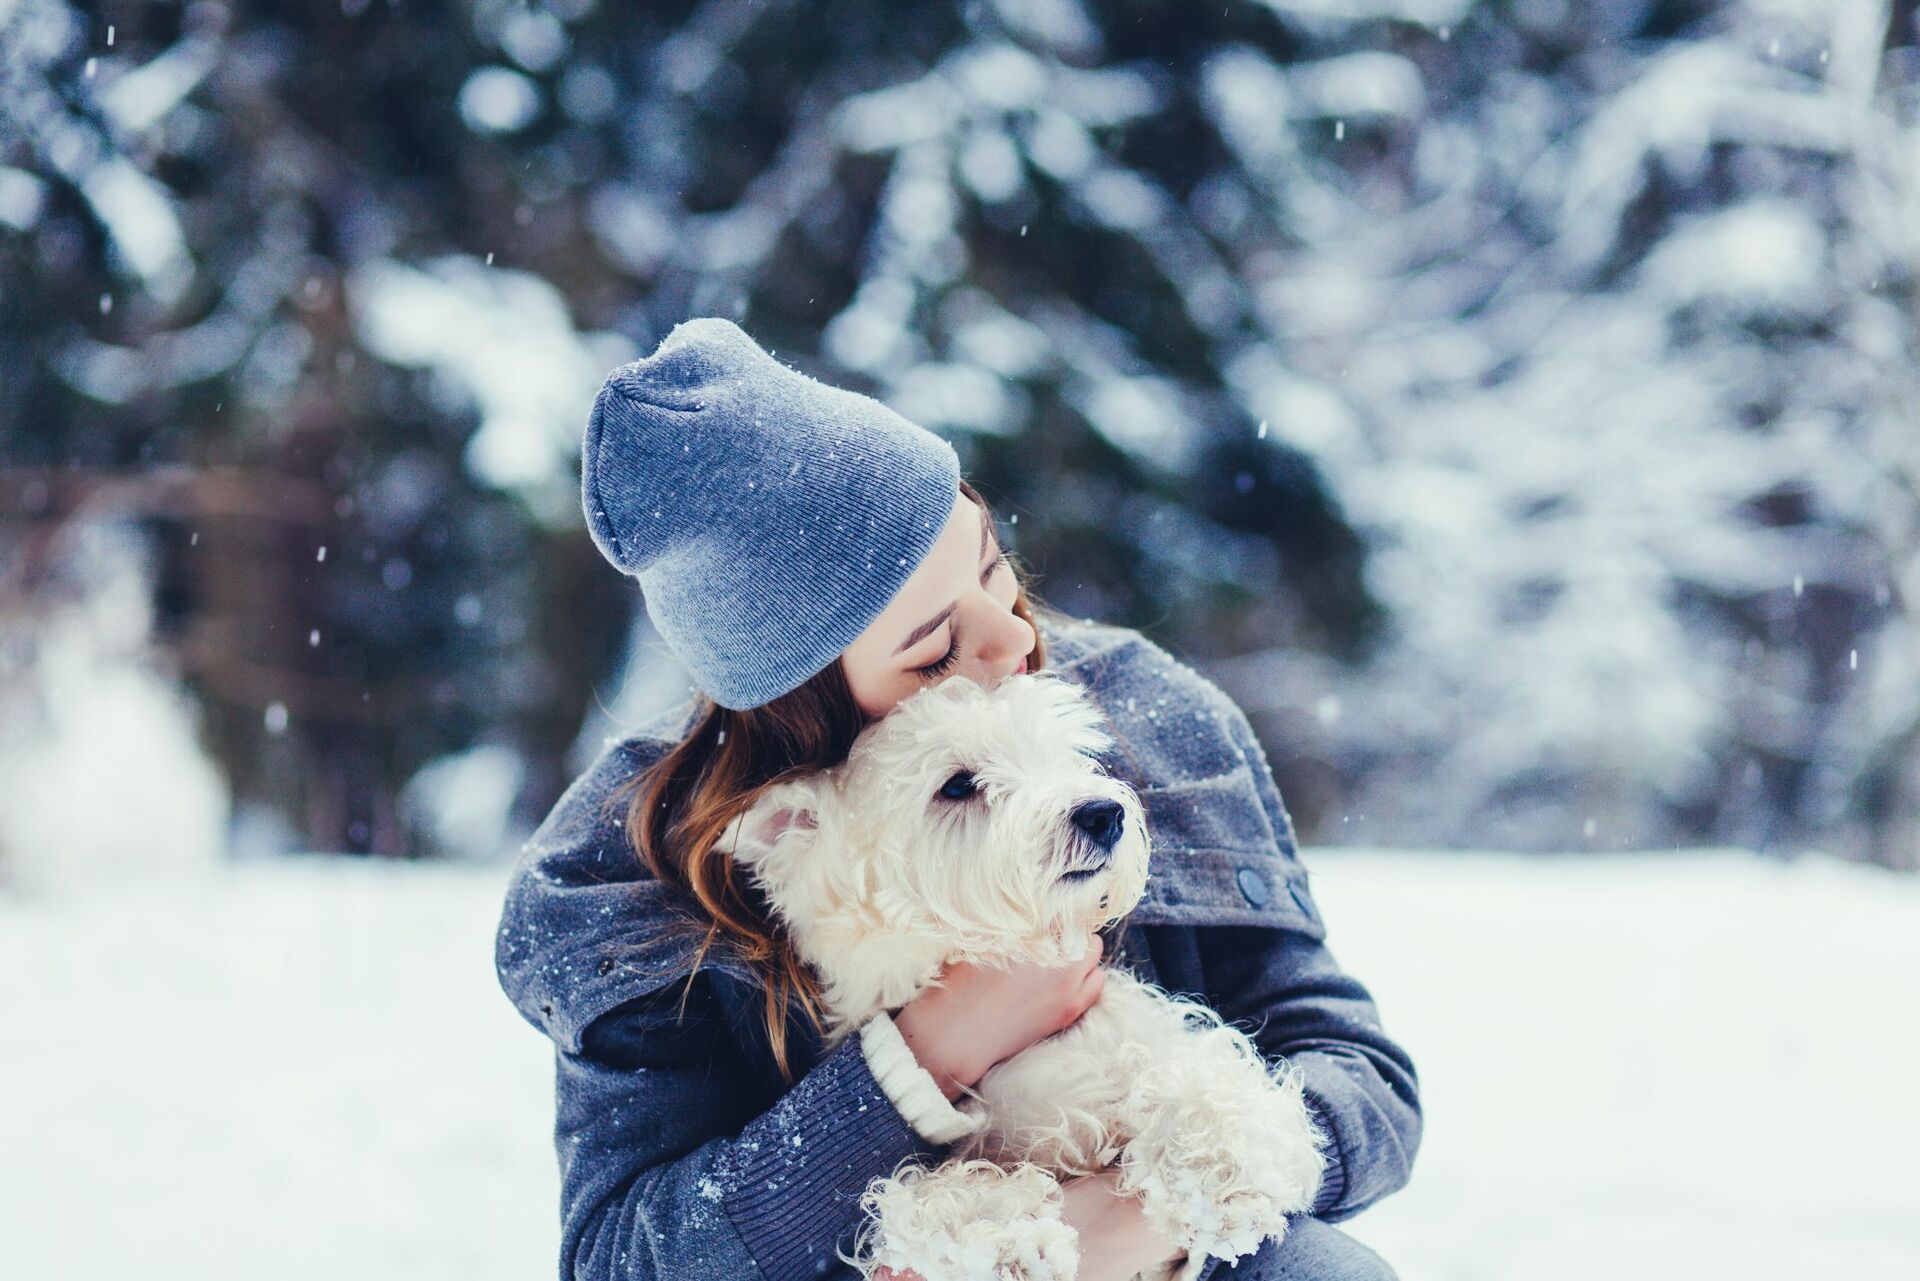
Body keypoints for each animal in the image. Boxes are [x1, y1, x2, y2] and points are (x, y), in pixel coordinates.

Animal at [721, 672, 1336, 1281]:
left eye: (1060, 755)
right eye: (957, 786)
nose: (1103, 813)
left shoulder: (1148, 1037)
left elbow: (1210, 1082)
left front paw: (1220, 1172)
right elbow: (923, 1198)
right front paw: (1001, 1242)